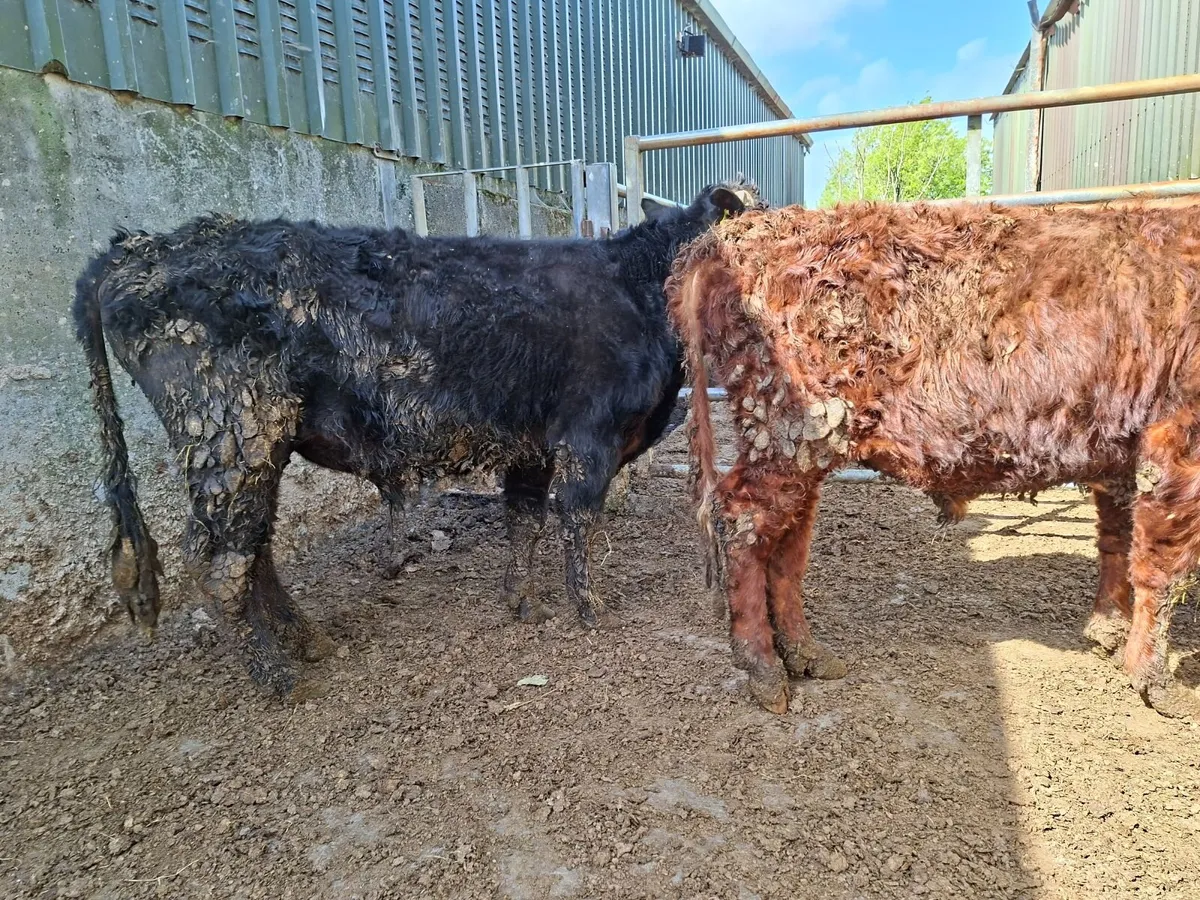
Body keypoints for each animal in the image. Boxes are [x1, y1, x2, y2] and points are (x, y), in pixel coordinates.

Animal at [74, 178, 762, 698]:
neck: (638, 287)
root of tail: (139, 247)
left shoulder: (533, 446)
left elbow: (525, 521)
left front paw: (524, 604)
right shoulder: (588, 439)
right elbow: (576, 521)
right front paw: (590, 611)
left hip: (257, 449)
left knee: (254, 548)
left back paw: (308, 641)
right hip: (230, 438)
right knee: (218, 561)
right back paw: (278, 677)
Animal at [666, 199, 1200, 719]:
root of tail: (737, 234)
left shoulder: (1122, 456)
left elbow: (1118, 542)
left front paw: (1107, 634)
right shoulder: (1178, 443)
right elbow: (1166, 569)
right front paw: (1160, 686)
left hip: (805, 451)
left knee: (787, 546)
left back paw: (809, 657)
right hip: (781, 433)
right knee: (740, 521)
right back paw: (764, 672)